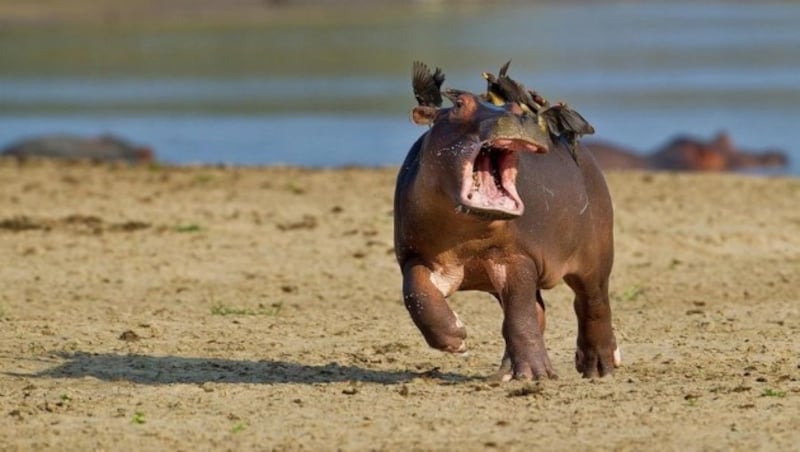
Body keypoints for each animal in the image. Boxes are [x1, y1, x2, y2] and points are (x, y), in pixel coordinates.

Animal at [394, 62, 620, 382]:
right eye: (459, 105)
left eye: (516, 106)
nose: (515, 115)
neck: (468, 233)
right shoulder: (415, 256)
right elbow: (416, 293)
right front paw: (456, 338)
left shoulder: (518, 257)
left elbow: (520, 315)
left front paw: (536, 375)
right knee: (539, 312)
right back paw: (504, 372)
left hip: (596, 256)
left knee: (592, 303)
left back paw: (598, 368)